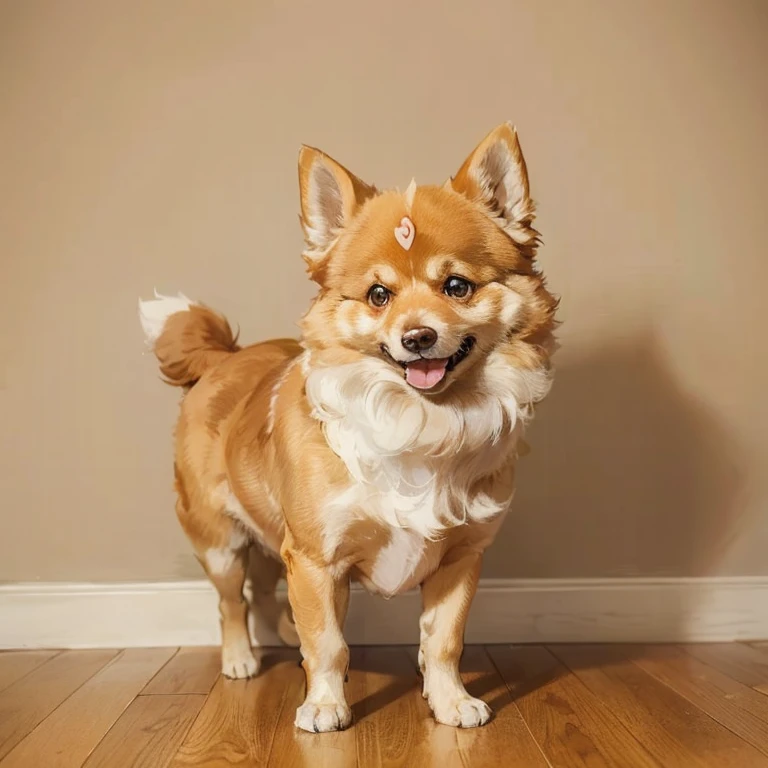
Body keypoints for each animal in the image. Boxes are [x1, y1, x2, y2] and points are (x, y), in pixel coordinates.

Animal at [140, 124, 560, 732]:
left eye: (457, 286)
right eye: (378, 295)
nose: (417, 337)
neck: (420, 419)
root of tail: (223, 357)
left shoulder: (461, 558)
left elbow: (443, 641)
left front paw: (450, 701)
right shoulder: (317, 558)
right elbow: (328, 643)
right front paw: (323, 706)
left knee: (262, 591)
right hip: (218, 540)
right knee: (231, 600)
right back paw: (241, 659)